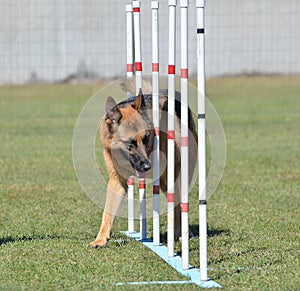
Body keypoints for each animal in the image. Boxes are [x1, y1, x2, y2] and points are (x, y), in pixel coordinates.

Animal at [88, 80, 198, 249]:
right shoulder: (117, 181)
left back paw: (182, 234)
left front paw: (179, 236)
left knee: (179, 205)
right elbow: (107, 213)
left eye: (146, 138)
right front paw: (100, 239)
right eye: (130, 143)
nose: (147, 166)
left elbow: (177, 208)